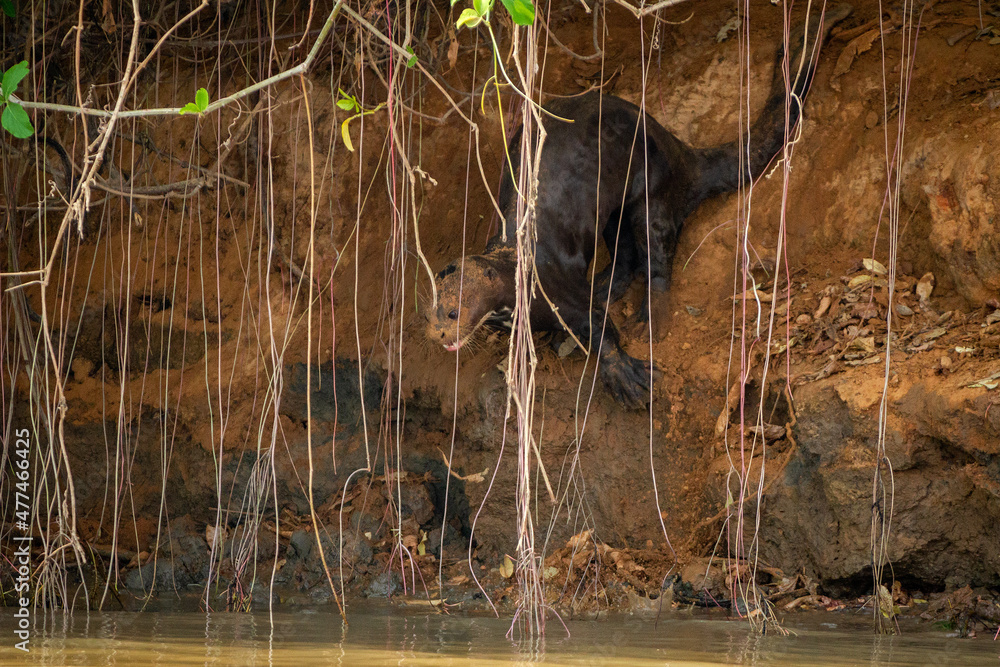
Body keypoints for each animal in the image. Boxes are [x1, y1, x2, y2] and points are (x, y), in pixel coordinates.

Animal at [428, 5, 852, 410]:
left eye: (453, 313)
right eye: (431, 311)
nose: (438, 334)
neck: (517, 273)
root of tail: (679, 152)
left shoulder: (556, 289)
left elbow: (599, 327)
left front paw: (625, 377)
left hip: (652, 191)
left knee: (655, 255)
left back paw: (651, 320)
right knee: (625, 254)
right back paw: (605, 286)